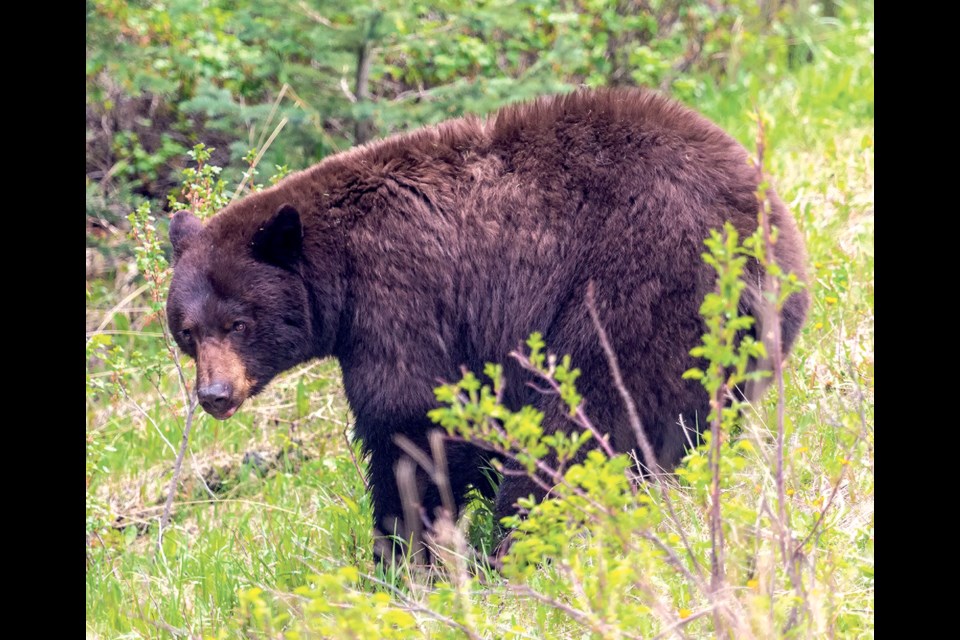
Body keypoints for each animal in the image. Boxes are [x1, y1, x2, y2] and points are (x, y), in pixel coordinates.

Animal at [167, 86, 808, 560]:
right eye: (187, 332)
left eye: (239, 322)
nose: (214, 394)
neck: (339, 274)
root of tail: (764, 236)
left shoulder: (399, 298)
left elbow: (410, 418)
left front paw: (402, 552)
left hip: (634, 293)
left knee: (579, 423)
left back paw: (520, 544)